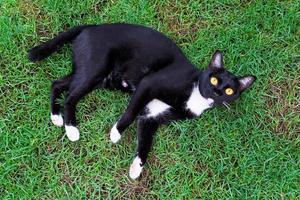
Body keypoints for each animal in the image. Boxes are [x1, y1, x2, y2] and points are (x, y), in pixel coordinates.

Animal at [28, 23, 255, 180]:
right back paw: (71, 128)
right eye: (214, 79)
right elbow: (130, 113)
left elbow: (145, 143)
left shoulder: (152, 117)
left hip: (95, 75)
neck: (195, 94)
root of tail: (90, 26)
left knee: (57, 84)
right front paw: (115, 133)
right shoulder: (148, 85)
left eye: (229, 90)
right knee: (71, 96)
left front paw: (136, 167)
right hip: (95, 70)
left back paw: (56, 117)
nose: (217, 92)